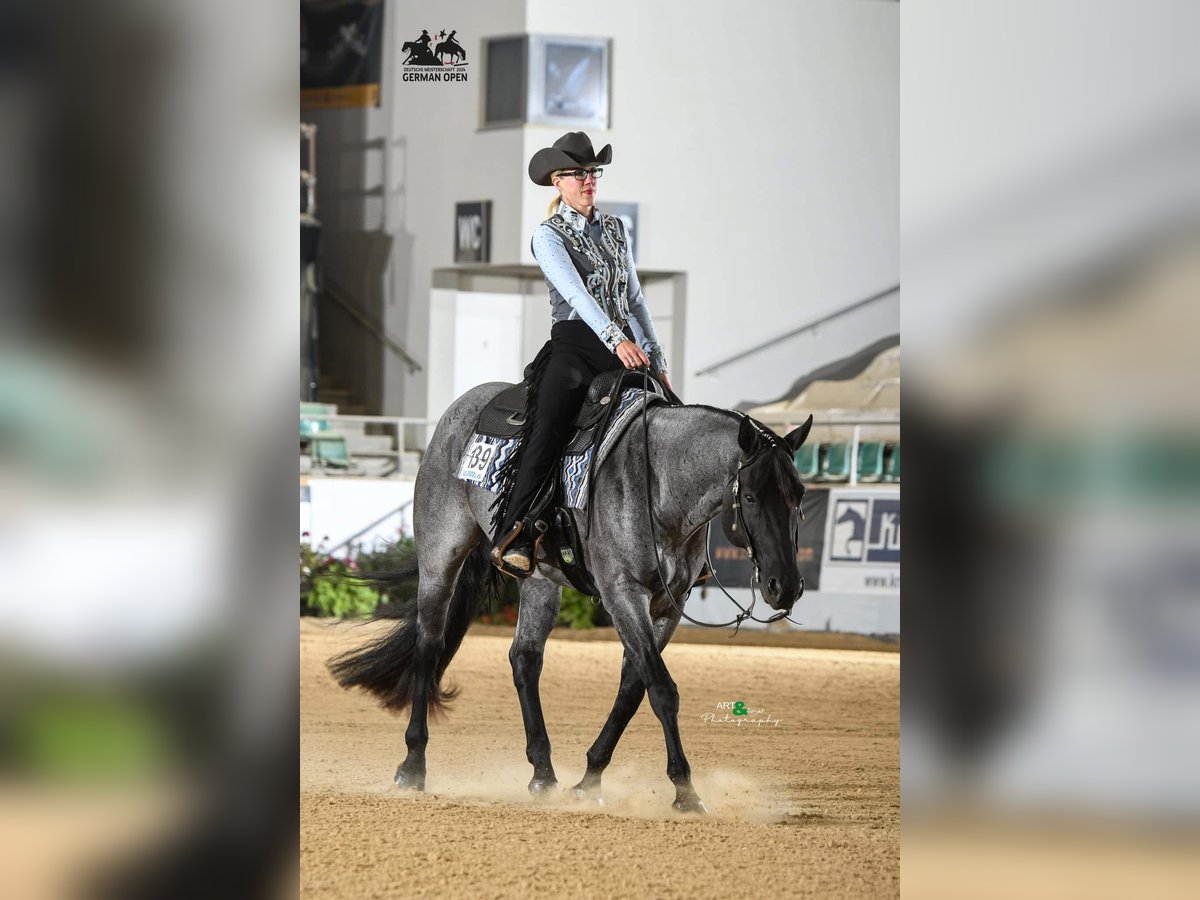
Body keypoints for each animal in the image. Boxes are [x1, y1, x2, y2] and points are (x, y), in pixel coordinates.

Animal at [328, 378, 813, 814]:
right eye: (750, 496)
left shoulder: (667, 606)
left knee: (524, 659)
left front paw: (590, 779)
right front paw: (686, 792)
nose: (785, 586)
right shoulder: (622, 593)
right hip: (439, 557)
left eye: (799, 495)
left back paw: (543, 774)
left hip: (540, 581)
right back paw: (413, 766)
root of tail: (461, 408)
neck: (657, 482)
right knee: (429, 646)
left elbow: (633, 687)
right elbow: (662, 689)